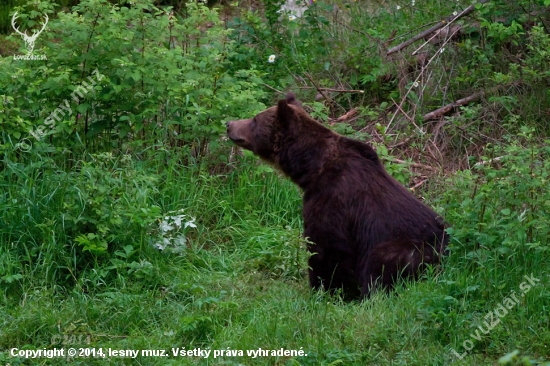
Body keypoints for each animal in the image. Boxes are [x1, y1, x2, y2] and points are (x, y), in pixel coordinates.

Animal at [226, 93, 450, 298]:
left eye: (255, 119)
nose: (229, 124)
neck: (311, 168)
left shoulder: (333, 197)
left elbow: (326, 247)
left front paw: (325, 290)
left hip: (410, 249)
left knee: (380, 264)